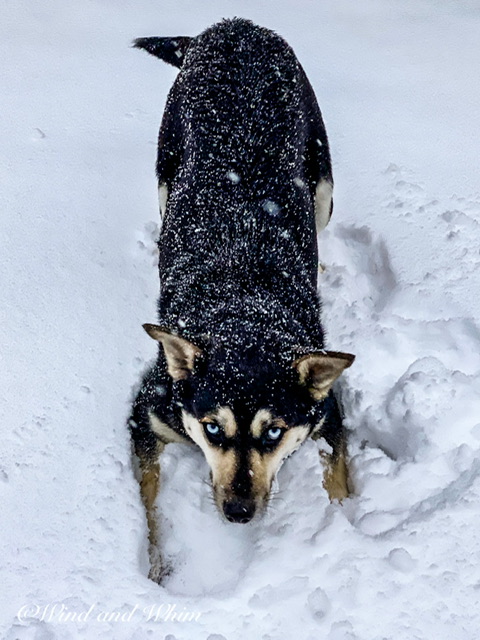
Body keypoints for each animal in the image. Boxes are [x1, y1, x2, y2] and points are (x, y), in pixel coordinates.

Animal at [129, 17, 354, 584]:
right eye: (212, 428)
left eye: (273, 432)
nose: (238, 513)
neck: (243, 311)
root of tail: (234, 25)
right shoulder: (147, 413)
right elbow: (149, 504)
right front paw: (155, 569)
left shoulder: (327, 413)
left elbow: (340, 482)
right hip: (166, 169)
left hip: (322, 185)